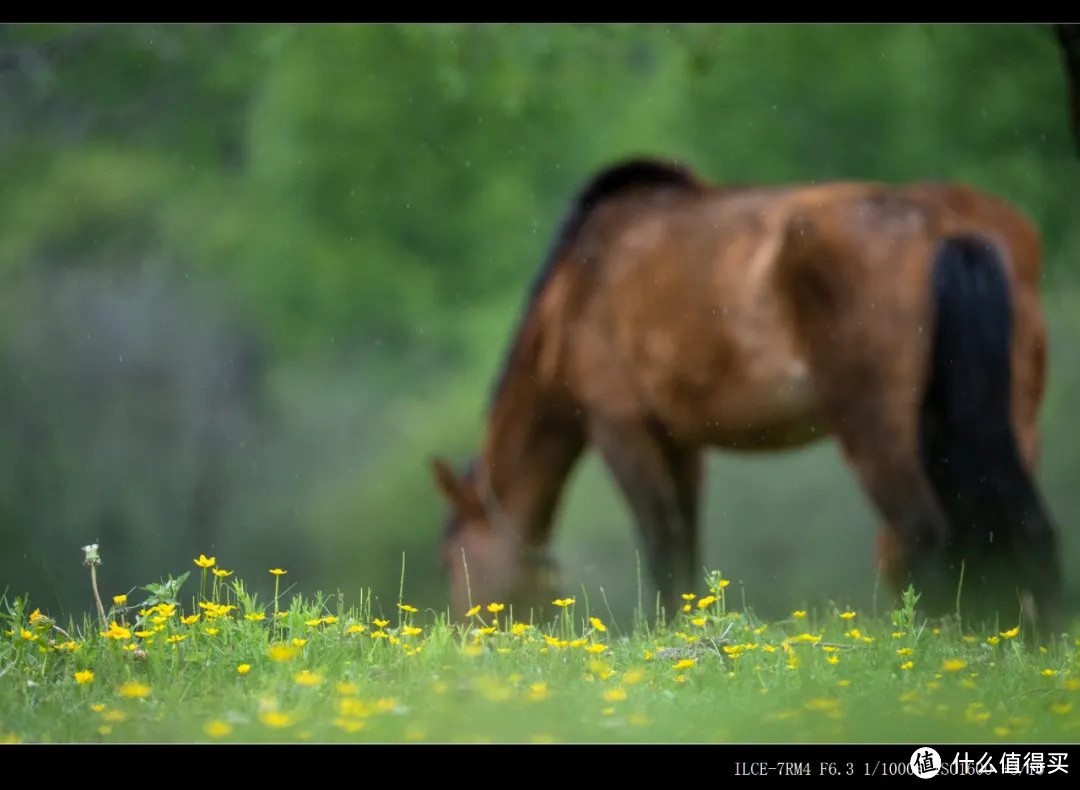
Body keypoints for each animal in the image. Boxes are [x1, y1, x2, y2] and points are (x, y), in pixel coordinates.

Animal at [427, 158, 1062, 635]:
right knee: (1021, 530)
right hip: (1006, 422)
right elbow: (686, 549)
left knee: (924, 539)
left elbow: (663, 548)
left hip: (880, 430)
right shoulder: (682, 444)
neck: (575, 288)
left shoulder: (621, 428)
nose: (464, 636)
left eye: (449, 559)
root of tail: (945, 227)